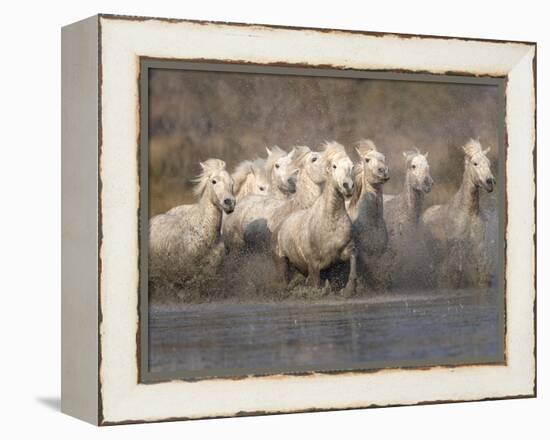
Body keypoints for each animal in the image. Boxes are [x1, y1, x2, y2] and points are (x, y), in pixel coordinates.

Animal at [274, 142, 358, 296]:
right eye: (334, 166)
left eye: (352, 166)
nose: (348, 186)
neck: (331, 220)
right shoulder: (313, 263)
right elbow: (315, 285)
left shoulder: (345, 251)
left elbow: (353, 261)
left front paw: (349, 289)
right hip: (282, 261)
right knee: (285, 280)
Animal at [424, 138, 498, 288]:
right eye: (475, 163)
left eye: (489, 163)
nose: (490, 182)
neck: (468, 212)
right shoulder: (457, 246)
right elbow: (456, 274)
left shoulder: (478, 245)